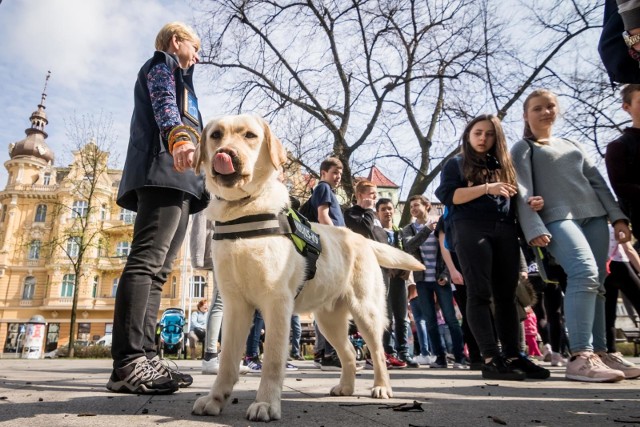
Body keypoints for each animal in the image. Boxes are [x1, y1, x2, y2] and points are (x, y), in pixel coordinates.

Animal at [191, 114, 424, 424]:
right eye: (216, 135)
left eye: (250, 136)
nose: (225, 154)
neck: (243, 210)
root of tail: (362, 239)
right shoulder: (235, 305)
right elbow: (227, 360)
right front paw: (215, 399)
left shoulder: (277, 303)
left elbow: (273, 359)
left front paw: (266, 403)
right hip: (328, 320)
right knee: (349, 353)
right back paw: (346, 387)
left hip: (366, 312)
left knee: (376, 351)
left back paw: (382, 387)